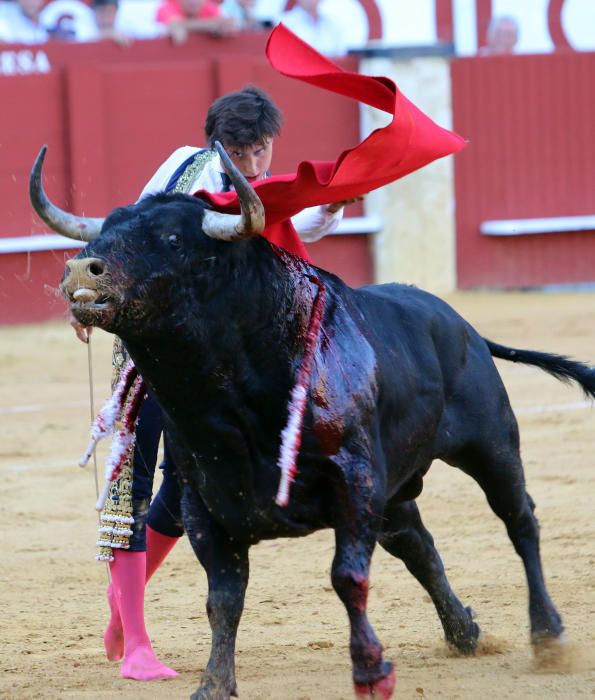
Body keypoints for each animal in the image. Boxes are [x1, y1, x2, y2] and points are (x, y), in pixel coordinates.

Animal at [57, 193, 595, 700]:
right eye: (104, 231)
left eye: (172, 238)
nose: (83, 268)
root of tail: (464, 327)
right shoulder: (204, 505)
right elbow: (223, 598)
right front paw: (213, 684)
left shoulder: (353, 480)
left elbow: (346, 577)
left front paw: (371, 674)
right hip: (394, 487)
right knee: (418, 544)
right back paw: (464, 632)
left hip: (491, 447)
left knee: (520, 521)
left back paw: (548, 636)